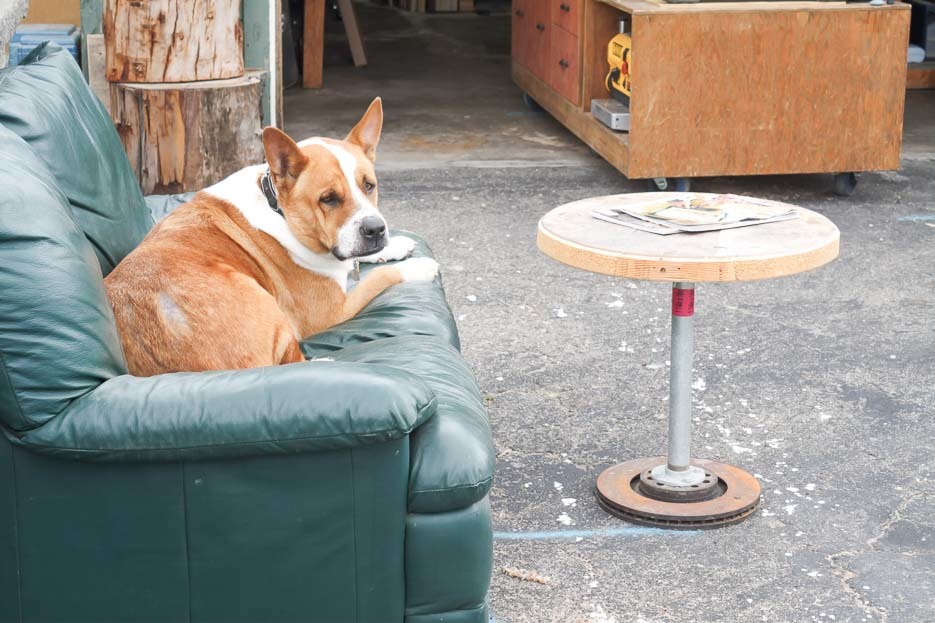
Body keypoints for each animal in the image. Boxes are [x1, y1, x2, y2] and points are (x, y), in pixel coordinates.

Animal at [104, 97, 436, 376]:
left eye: (369, 185)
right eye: (328, 199)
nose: (375, 229)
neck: (279, 208)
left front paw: (394, 246)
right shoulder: (331, 310)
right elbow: (380, 277)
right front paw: (418, 267)